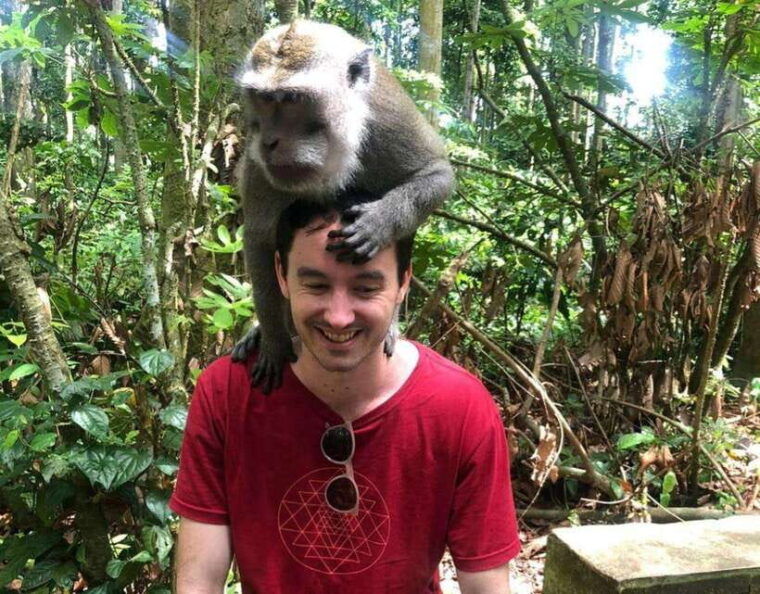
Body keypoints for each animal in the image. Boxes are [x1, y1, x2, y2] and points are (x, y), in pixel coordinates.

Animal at [230, 20, 454, 393]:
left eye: (291, 99)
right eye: (262, 99)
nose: (269, 141)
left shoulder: (387, 119)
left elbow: (437, 174)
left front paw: (379, 222)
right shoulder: (260, 166)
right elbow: (259, 239)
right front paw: (274, 341)